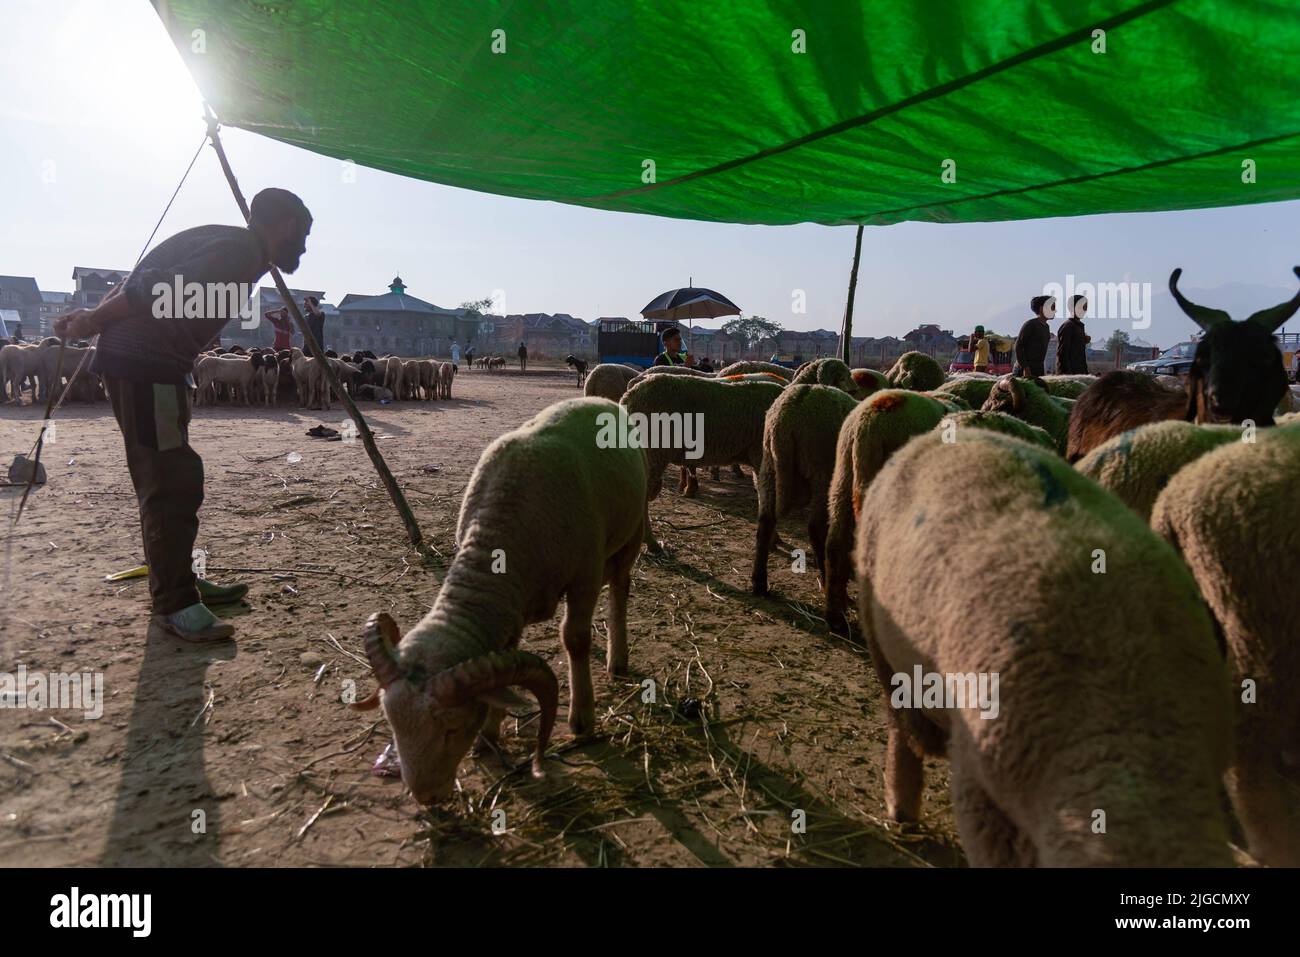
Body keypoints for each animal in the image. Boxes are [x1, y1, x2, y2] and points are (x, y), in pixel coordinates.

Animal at [351, 395, 644, 806]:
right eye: (392, 722)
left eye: (452, 728)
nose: (426, 796)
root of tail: (597, 399)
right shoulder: (510, 607)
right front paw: (489, 736)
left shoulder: (584, 577)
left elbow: (575, 639)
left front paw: (582, 719)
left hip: (634, 528)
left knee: (620, 586)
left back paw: (618, 659)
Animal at [748, 382, 857, 598]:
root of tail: (786, 417)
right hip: (822, 471)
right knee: (815, 527)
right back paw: (826, 580)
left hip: (769, 466)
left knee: (765, 521)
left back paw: (759, 583)